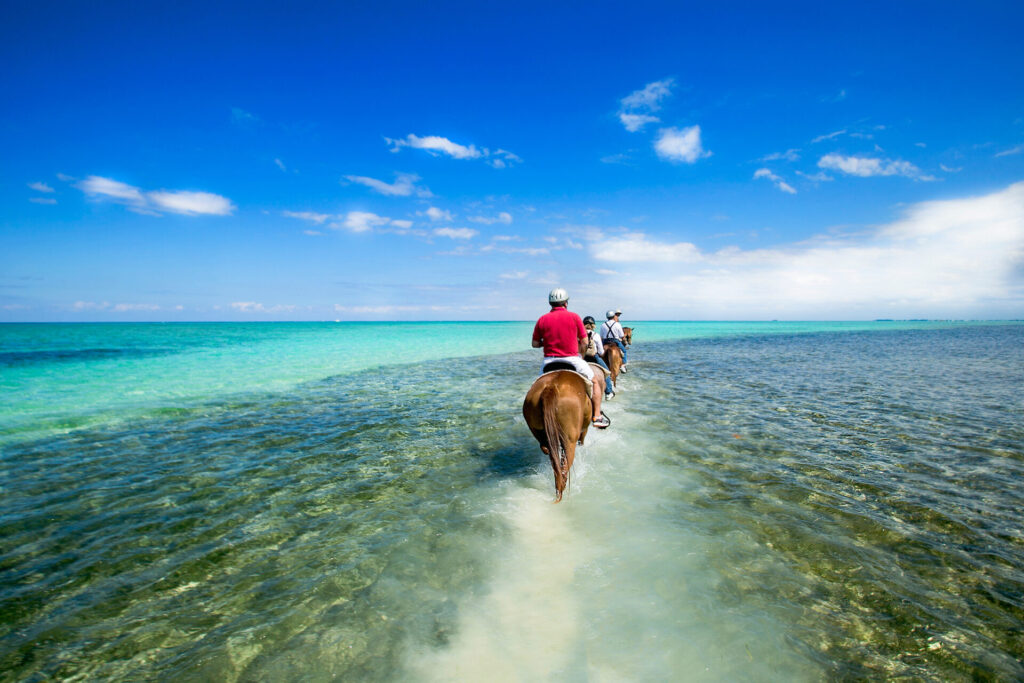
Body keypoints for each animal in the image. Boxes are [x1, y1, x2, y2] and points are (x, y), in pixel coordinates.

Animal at [522, 369, 593, 502]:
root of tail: (550, 388)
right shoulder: (584, 429)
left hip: (537, 427)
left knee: (548, 451)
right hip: (570, 440)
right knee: (564, 467)